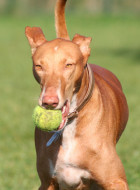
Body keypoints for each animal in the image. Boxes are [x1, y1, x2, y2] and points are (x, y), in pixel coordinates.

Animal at [25, 0, 129, 190]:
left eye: (68, 65)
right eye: (39, 66)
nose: (49, 101)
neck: (69, 128)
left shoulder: (116, 181)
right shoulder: (48, 182)